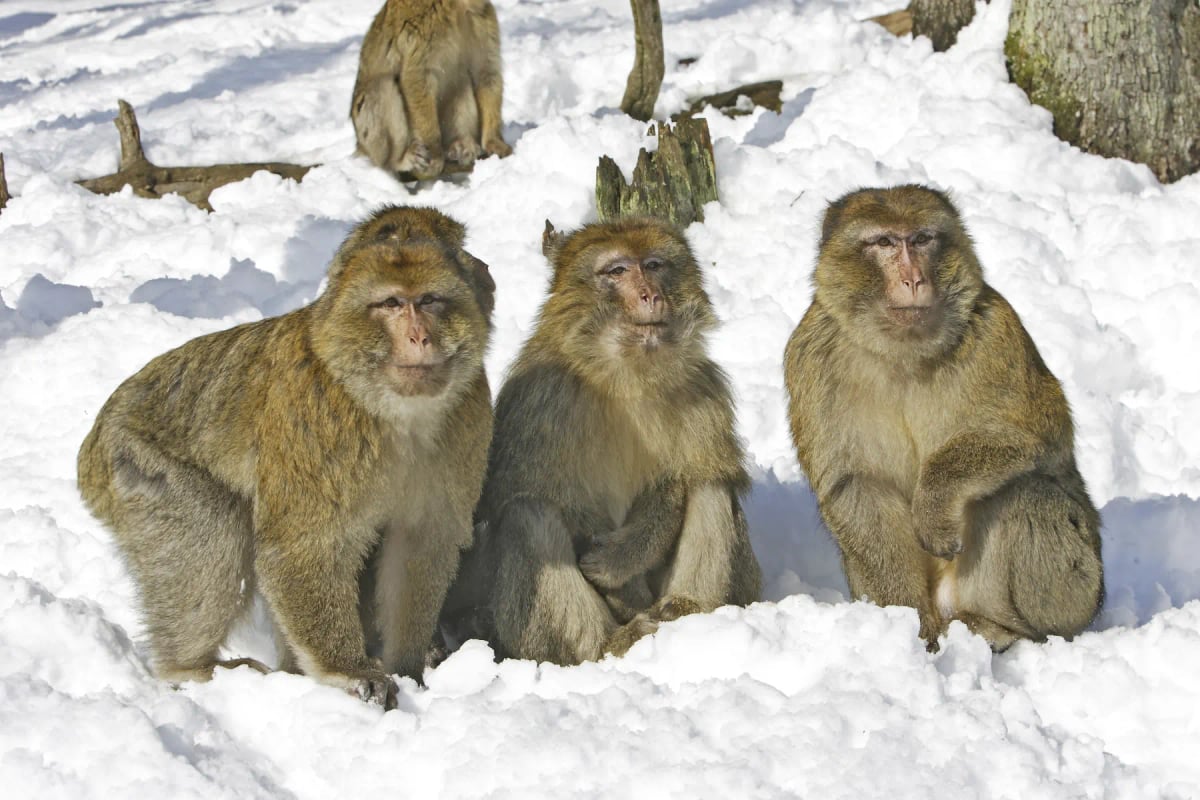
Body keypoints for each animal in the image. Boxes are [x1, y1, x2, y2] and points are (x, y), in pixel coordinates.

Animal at [77, 206, 495, 709]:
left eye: (430, 300)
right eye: (392, 303)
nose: (418, 337)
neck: (391, 409)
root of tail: (93, 445)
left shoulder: (469, 419)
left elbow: (420, 544)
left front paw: (409, 667)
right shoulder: (319, 427)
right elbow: (302, 548)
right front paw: (349, 671)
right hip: (140, 466)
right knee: (213, 535)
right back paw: (192, 667)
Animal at [350, 0, 512, 181]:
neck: (456, 6)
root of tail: (361, 147)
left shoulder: (483, 19)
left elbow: (486, 73)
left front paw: (494, 142)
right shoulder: (422, 31)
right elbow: (417, 78)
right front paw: (434, 154)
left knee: (461, 81)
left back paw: (461, 146)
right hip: (373, 144)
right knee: (381, 86)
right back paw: (402, 160)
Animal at [444, 217, 761, 666]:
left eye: (654, 265)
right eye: (618, 271)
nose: (651, 295)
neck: (625, 377)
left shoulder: (703, 389)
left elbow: (687, 477)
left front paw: (620, 562)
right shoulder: (541, 397)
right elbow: (535, 493)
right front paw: (620, 588)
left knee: (710, 484)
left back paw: (687, 610)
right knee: (529, 513)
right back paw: (610, 642)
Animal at [783, 184, 1103, 651]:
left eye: (921, 240)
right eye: (885, 242)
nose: (914, 279)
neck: (903, 352)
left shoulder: (996, 331)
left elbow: (1032, 435)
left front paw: (933, 503)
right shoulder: (811, 354)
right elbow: (855, 484)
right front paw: (909, 625)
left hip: (1082, 589)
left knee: (1030, 494)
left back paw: (1006, 630)